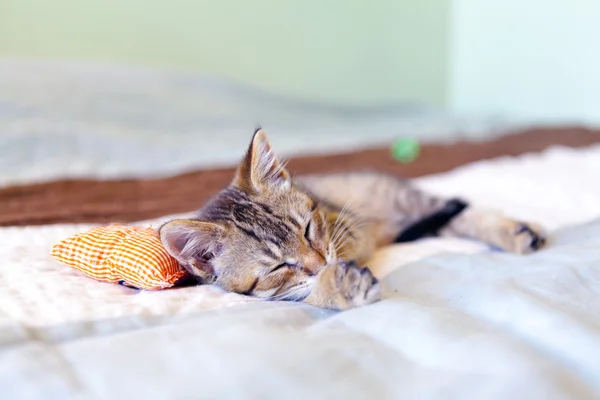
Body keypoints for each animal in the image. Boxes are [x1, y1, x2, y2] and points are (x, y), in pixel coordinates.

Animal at [158, 130, 544, 310]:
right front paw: (336, 286)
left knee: (460, 212)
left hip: (405, 199)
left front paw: (333, 280)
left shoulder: (349, 232)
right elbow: (302, 292)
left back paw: (515, 230)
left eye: (308, 229)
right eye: (278, 267)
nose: (321, 264)